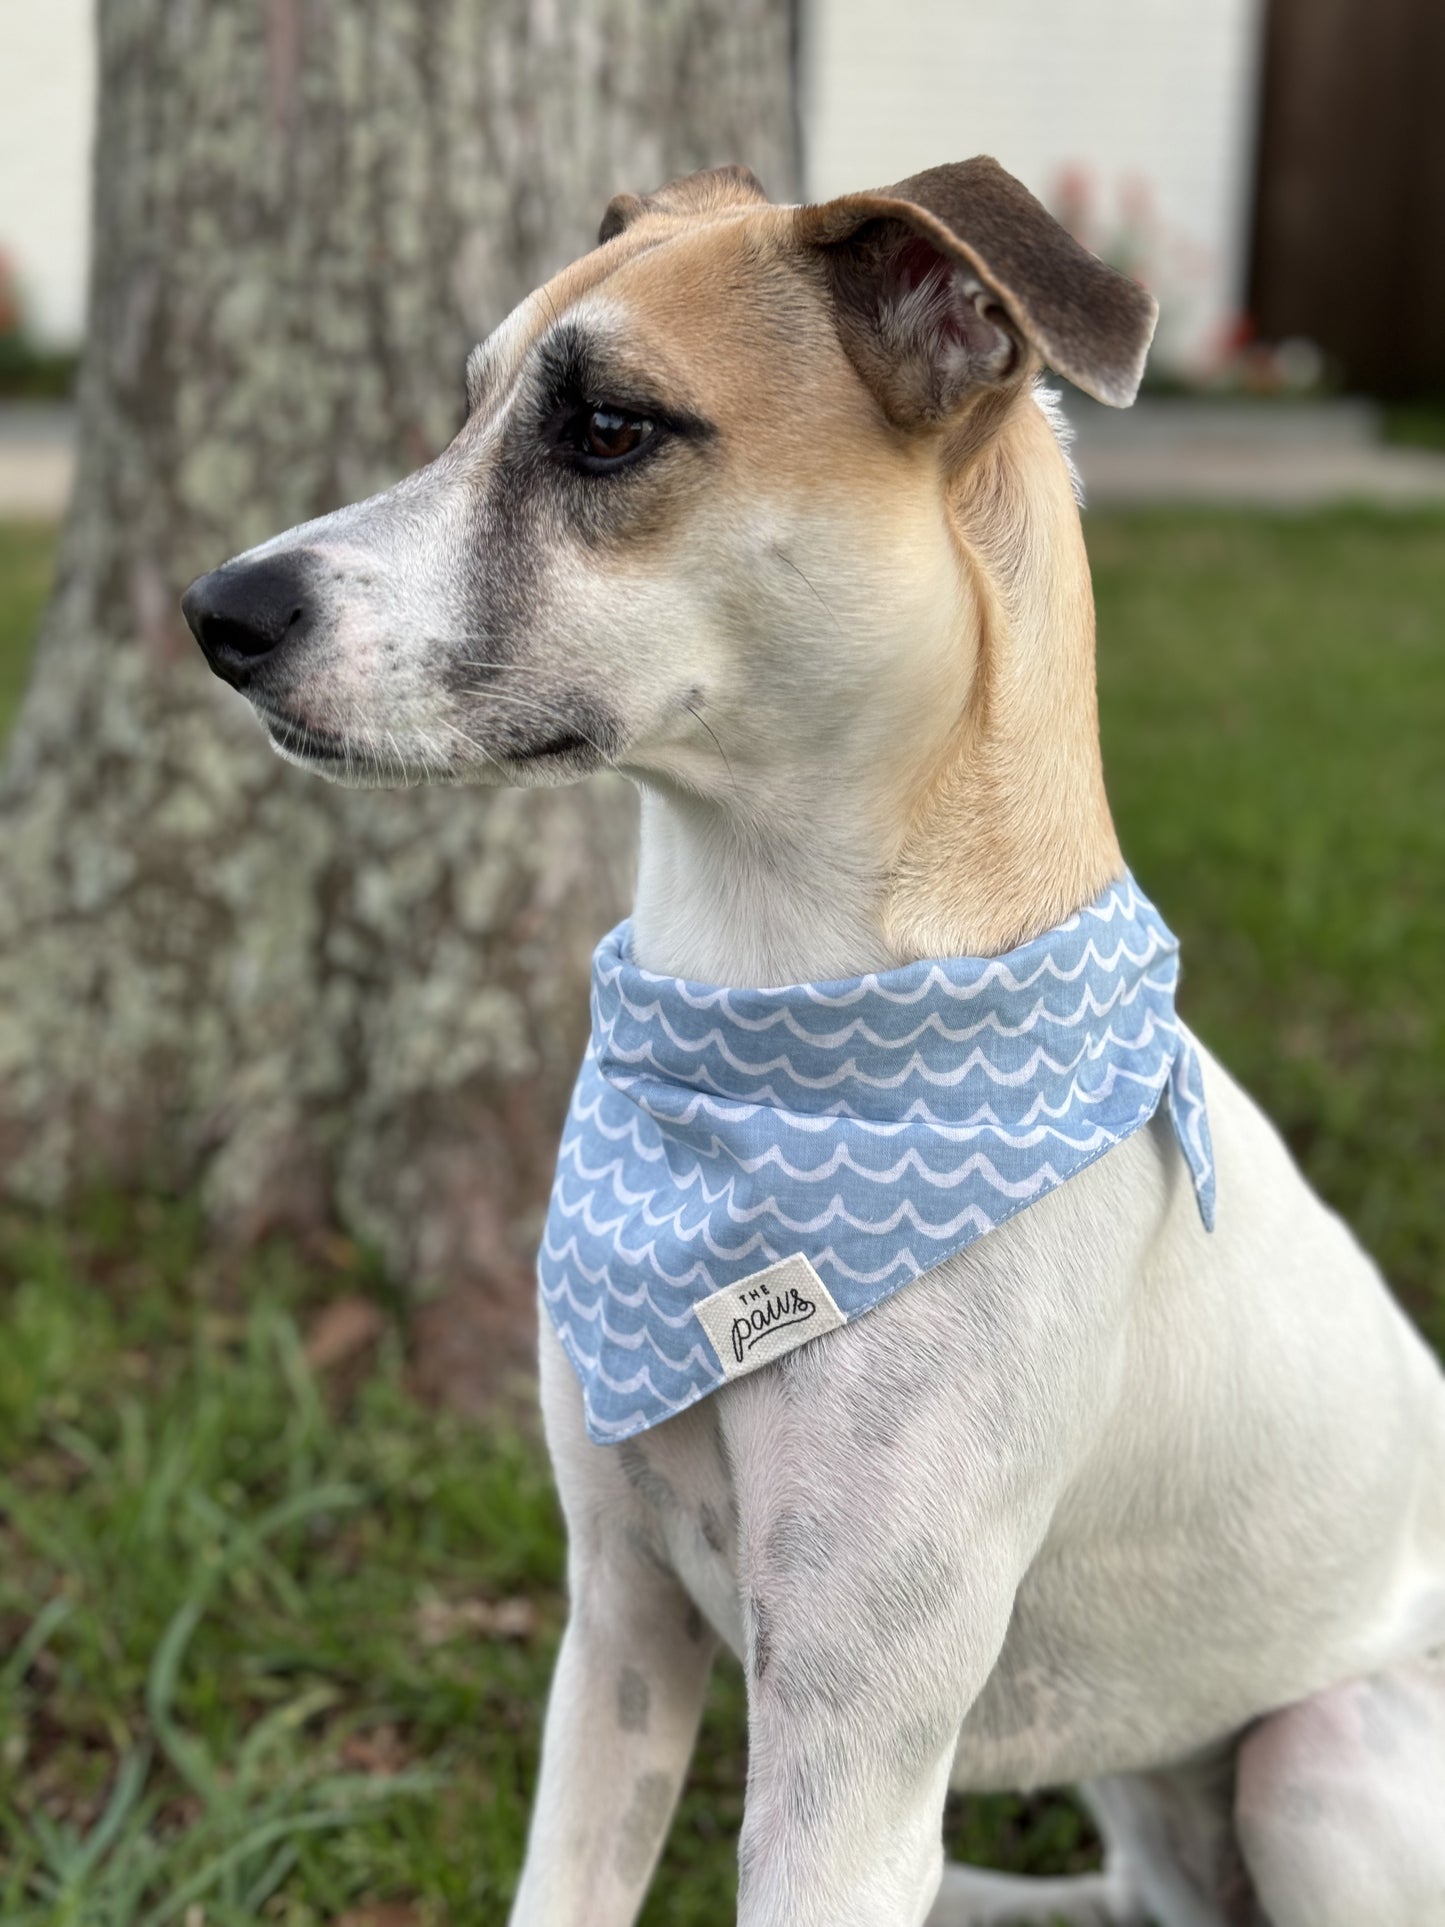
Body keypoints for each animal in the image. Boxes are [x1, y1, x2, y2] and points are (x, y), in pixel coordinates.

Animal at [183, 165, 1445, 1927]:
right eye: (466, 404)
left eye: (611, 430)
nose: (215, 612)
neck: (766, 1034)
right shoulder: (620, 1622)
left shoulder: (854, 1739)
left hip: (1321, 1758)